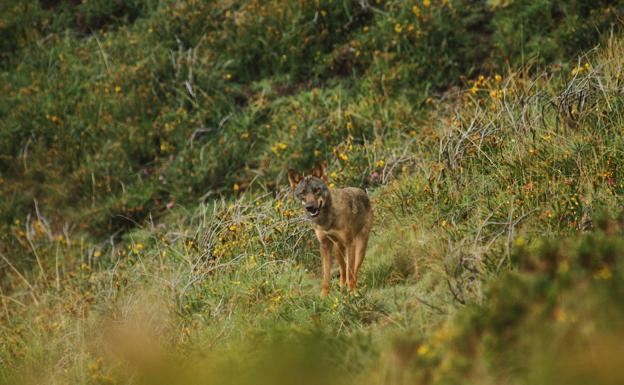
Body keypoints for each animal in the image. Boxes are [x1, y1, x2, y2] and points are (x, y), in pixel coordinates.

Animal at [288, 166, 370, 296]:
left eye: (317, 190)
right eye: (302, 193)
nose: (310, 207)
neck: (327, 220)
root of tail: (362, 191)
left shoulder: (350, 244)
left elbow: (351, 271)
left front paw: (352, 293)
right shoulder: (324, 245)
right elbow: (326, 275)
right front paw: (324, 296)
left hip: (360, 247)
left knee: (353, 269)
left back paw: (351, 288)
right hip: (337, 249)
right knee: (343, 268)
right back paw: (342, 286)